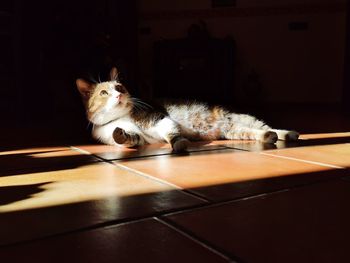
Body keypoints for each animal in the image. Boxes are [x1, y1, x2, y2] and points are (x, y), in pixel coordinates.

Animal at [76, 67, 298, 153]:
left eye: (120, 87)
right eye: (104, 92)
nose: (119, 95)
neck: (120, 118)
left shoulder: (158, 118)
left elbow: (171, 132)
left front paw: (179, 143)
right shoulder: (139, 137)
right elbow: (129, 138)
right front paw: (121, 135)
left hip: (242, 118)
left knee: (267, 126)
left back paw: (288, 133)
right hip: (237, 131)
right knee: (259, 132)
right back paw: (270, 137)